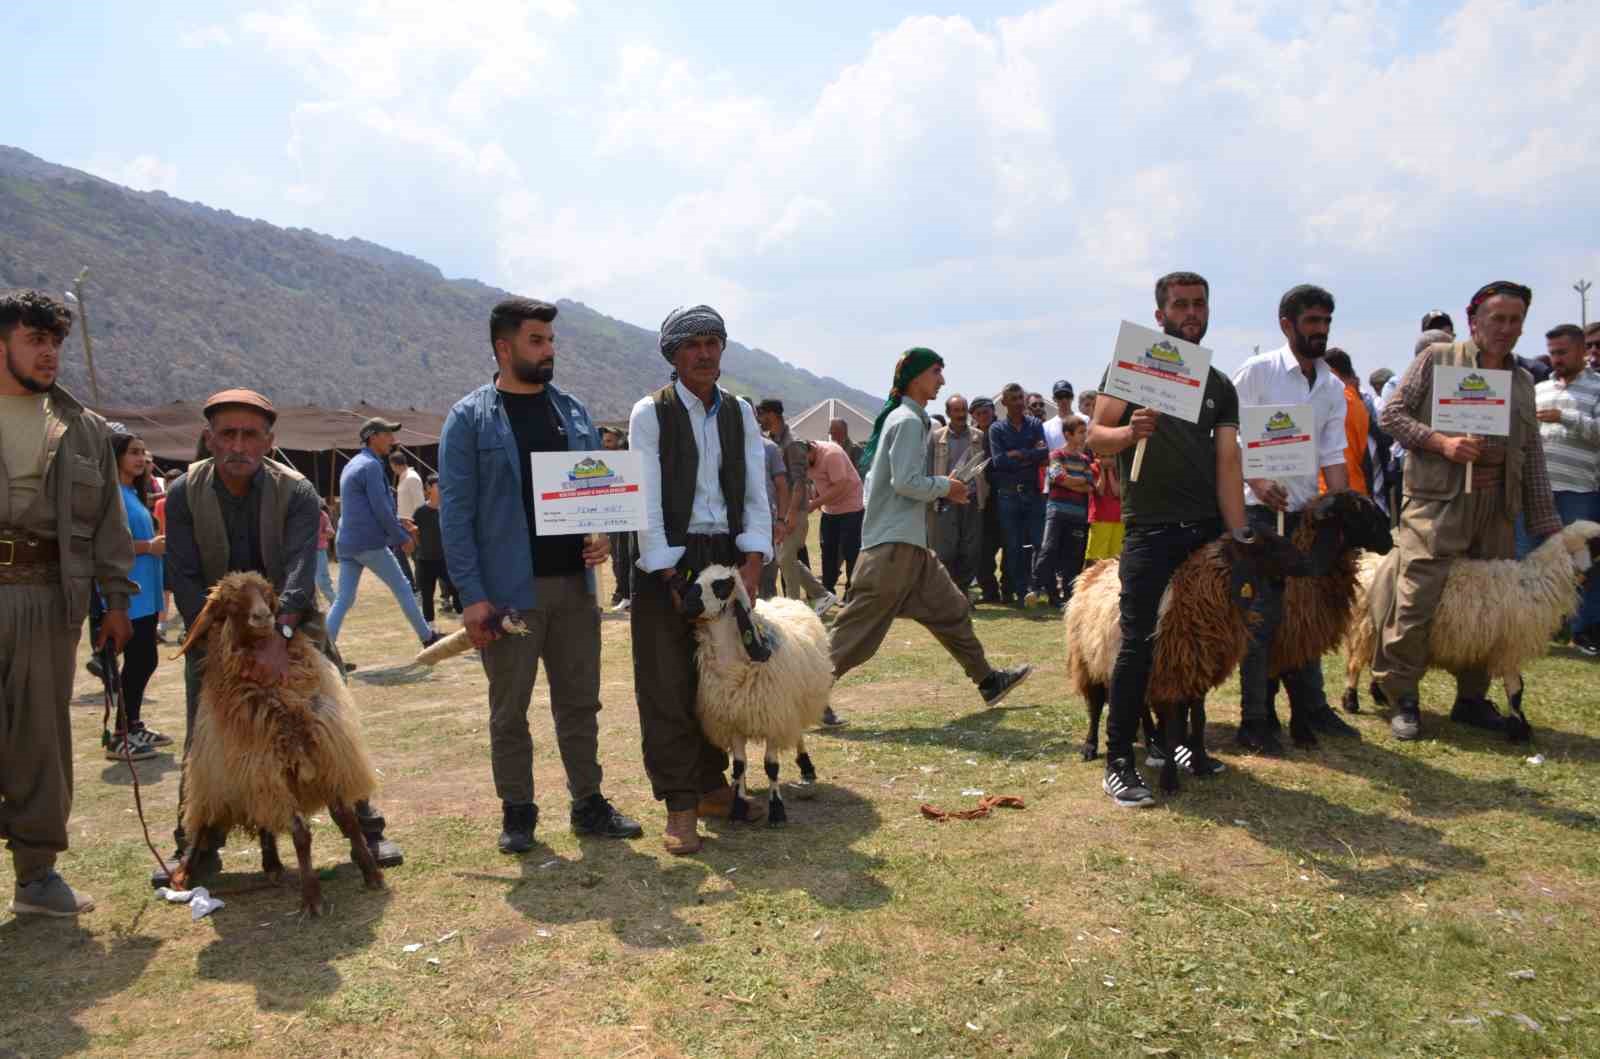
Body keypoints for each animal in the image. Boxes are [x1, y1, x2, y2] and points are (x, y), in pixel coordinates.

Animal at [173, 575, 385, 915]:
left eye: (267, 594)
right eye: (231, 603)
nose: (263, 616)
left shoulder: (326, 760)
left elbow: (349, 821)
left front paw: (371, 872)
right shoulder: (271, 775)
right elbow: (301, 834)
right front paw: (311, 898)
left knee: (264, 824)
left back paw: (271, 863)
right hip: (219, 784)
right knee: (201, 829)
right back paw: (183, 873)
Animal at [681, 563, 832, 831]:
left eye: (722, 586)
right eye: (695, 579)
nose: (686, 604)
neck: (732, 665)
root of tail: (783, 599)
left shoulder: (773, 719)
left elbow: (771, 767)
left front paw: (777, 811)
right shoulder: (733, 721)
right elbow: (739, 766)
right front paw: (738, 808)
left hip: (792, 706)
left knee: (798, 734)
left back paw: (806, 768)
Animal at [1337, 515, 1600, 739]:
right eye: (1597, 543)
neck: (1539, 581)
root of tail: (1369, 560)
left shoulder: (1498, 647)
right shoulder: (1509, 648)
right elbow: (1516, 689)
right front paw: (1520, 729)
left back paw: (1379, 693)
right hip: (1367, 626)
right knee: (1355, 664)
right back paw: (1351, 701)